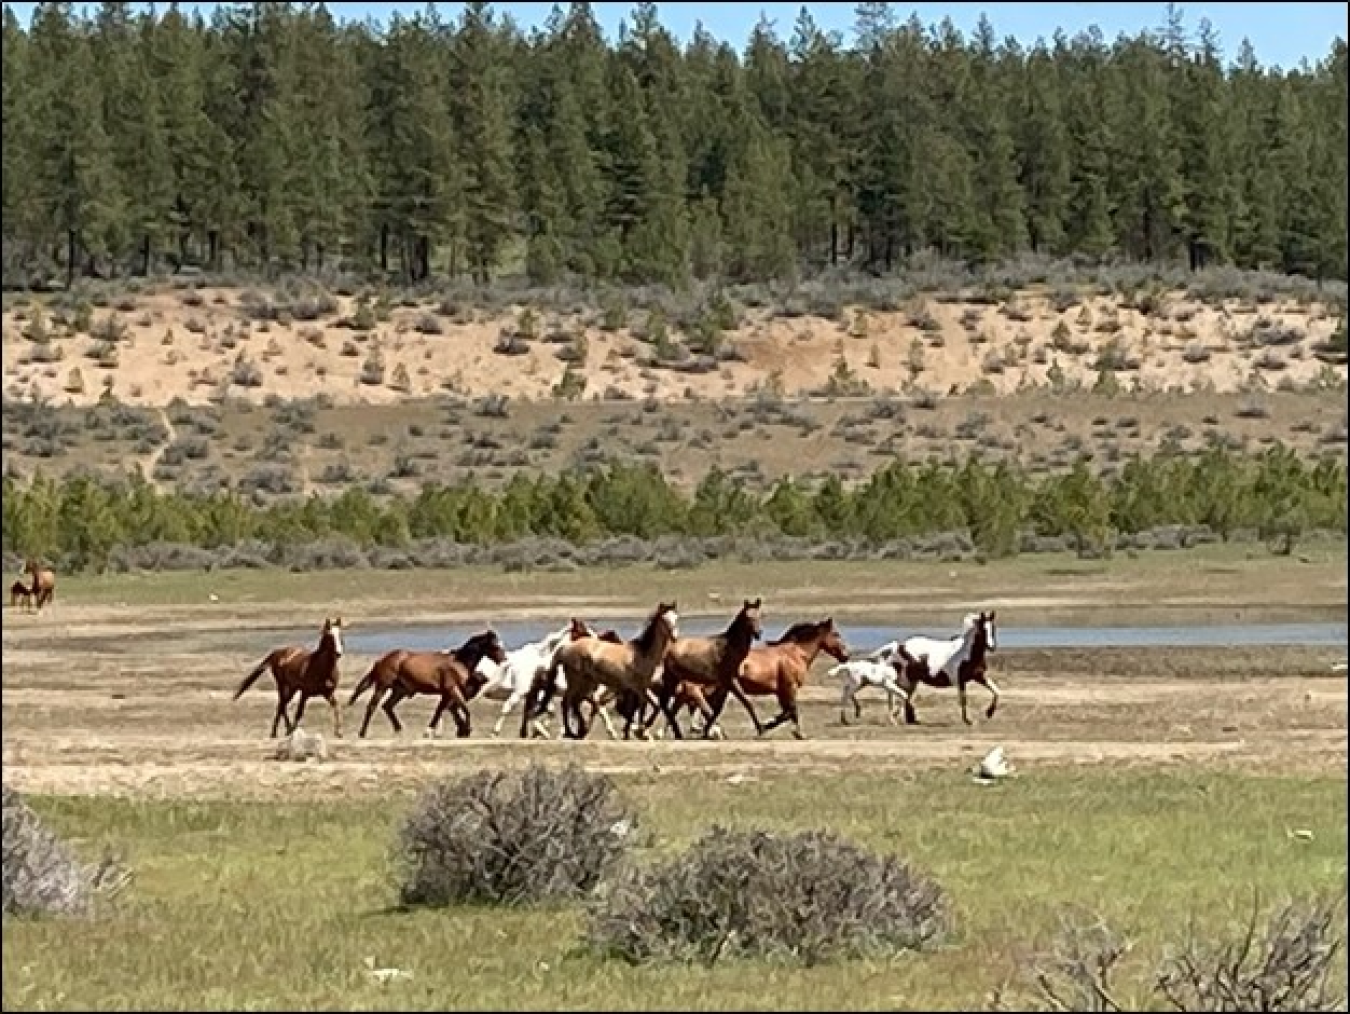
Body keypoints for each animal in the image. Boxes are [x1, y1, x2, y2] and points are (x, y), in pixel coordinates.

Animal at [351, 626, 507, 739]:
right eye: (495, 645)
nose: (504, 659)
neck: (459, 662)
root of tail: (381, 660)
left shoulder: (447, 694)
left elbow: (442, 710)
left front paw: (460, 730)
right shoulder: (452, 689)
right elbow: (463, 710)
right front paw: (465, 730)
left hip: (400, 690)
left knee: (387, 706)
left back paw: (399, 730)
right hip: (382, 686)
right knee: (372, 706)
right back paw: (362, 733)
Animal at [650, 599, 766, 739]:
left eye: (760, 616)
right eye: (748, 617)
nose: (758, 633)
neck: (729, 648)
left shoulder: (724, 685)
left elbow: (716, 710)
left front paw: (707, 731)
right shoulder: (729, 681)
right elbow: (746, 702)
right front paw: (761, 729)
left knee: (666, 705)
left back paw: (676, 733)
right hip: (671, 680)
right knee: (664, 704)